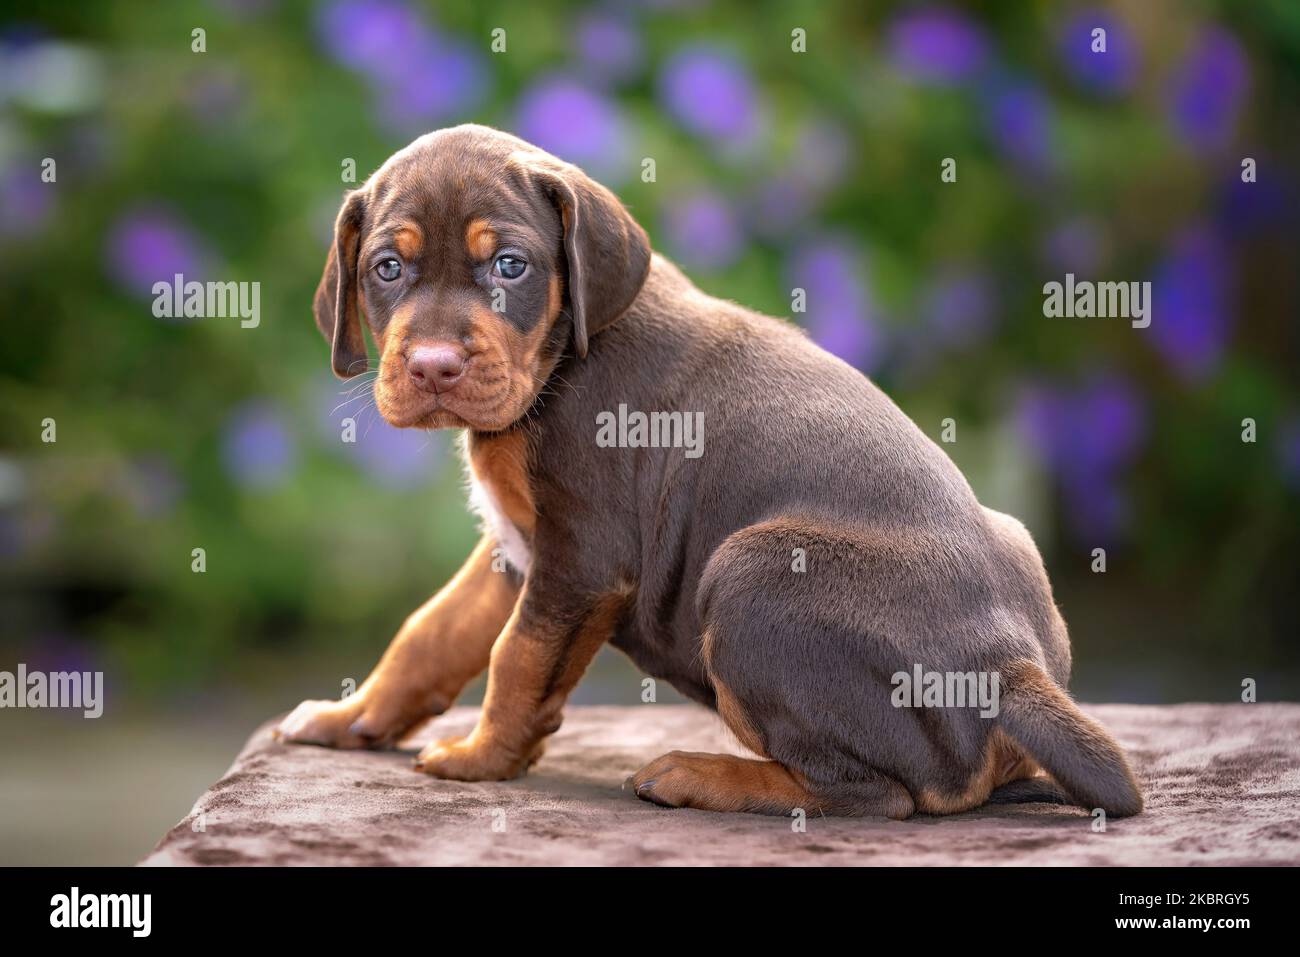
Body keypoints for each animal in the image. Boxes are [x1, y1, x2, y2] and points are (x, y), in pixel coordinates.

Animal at [279, 123, 1144, 816]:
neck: (560, 359)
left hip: (748, 569)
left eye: (512, 267)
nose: (431, 366)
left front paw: (481, 759)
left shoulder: (583, 558)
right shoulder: (518, 546)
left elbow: (516, 656)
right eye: (387, 269)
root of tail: (1009, 668)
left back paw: (699, 774)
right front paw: (349, 719)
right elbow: (432, 631)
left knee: (874, 793)